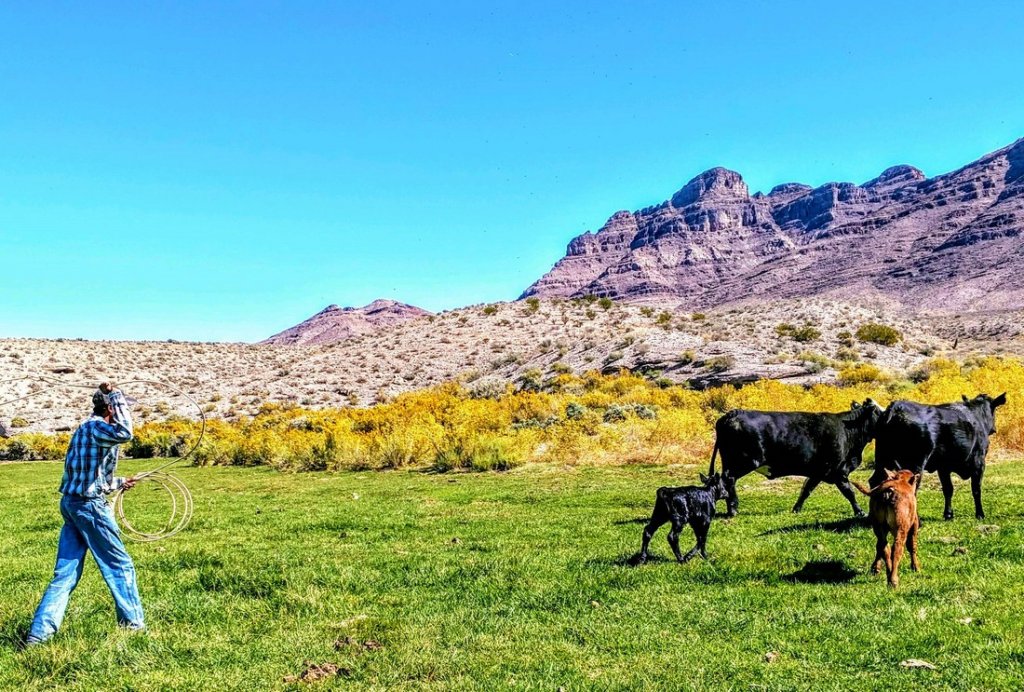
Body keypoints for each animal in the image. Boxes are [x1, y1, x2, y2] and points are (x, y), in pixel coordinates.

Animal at [708, 397, 884, 515]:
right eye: (880, 412)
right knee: (729, 479)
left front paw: (796, 509)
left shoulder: (818, 472)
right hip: (744, 462)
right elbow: (849, 492)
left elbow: (806, 490)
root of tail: (734, 413)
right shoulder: (838, 471)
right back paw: (733, 509)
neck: (848, 431)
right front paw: (860, 511)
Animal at [872, 395, 1007, 520]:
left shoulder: (943, 467)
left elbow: (948, 489)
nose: (994, 429)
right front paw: (980, 514)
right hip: (915, 464)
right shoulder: (979, 463)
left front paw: (948, 514)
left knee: (876, 481)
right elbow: (976, 489)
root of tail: (897, 406)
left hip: (881, 459)